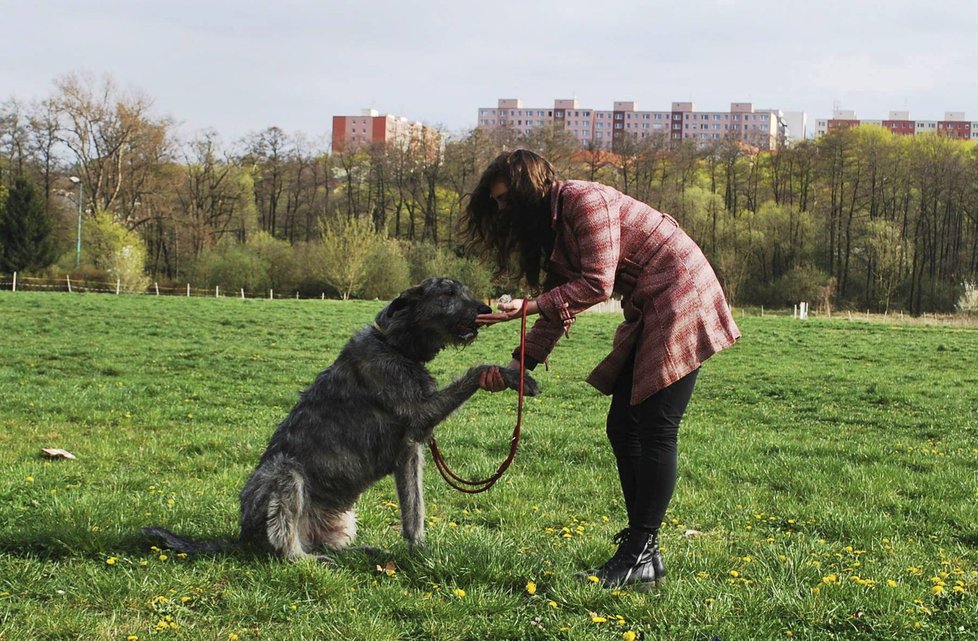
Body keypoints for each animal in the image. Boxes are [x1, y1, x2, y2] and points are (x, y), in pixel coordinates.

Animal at [144, 278, 536, 556]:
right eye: (449, 293)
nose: (486, 307)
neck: (395, 346)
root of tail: (241, 537)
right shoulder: (419, 414)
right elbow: (472, 373)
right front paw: (506, 373)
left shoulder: (410, 451)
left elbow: (414, 508)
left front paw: (418, 551)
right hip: (284, 473)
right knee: (285, 548)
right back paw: (309, 559)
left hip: (340, 521)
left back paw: (362, 552)